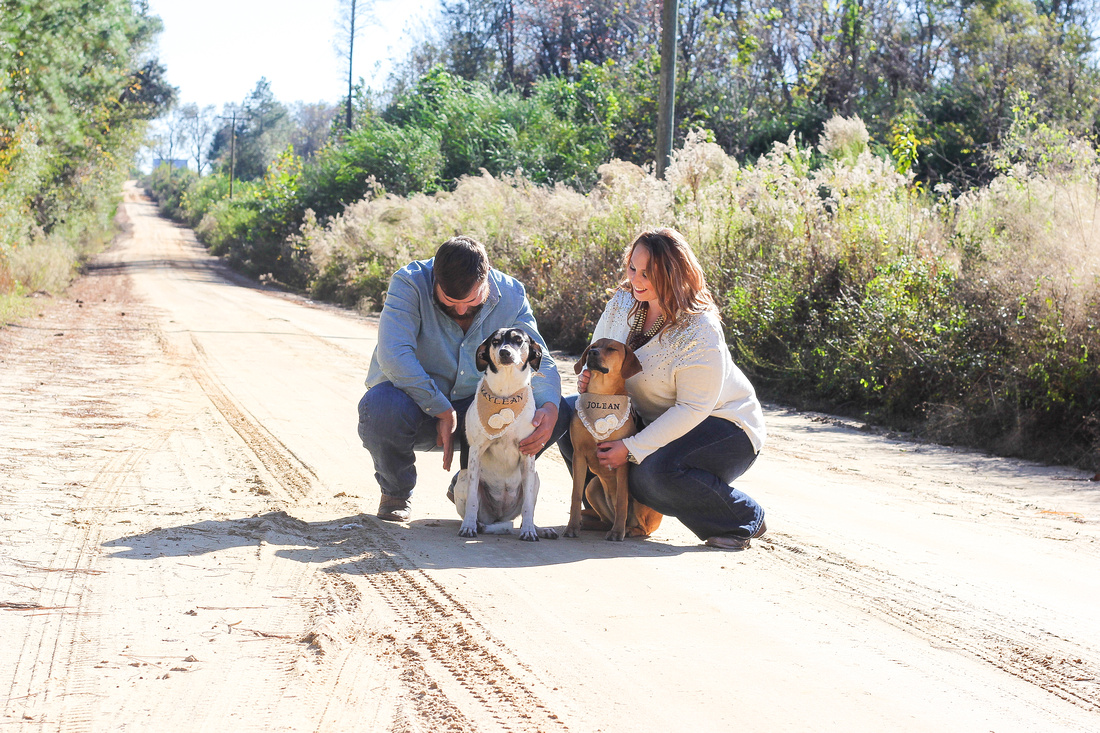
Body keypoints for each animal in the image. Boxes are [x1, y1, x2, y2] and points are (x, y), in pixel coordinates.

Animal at [453, 327, 558, 539]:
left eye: (518, 340)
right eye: (495, 341)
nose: (504, 352)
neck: (506, 394)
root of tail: (500, 516)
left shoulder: (528, 454)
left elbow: (528, 507)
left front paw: (528, 532)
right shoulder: (475, 453)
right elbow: (472, 501)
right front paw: (468, 527)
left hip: (535, 478)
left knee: (528, 509)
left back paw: (539, 529)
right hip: (462, 481)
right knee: (476, 511)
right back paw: (476, 524)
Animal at [567, 336, 660, 537]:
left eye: (611, 349)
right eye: (593, 346)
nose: (592, 353)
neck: (601, 396)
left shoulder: (622, 462)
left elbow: (622, 500)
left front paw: (617, 532)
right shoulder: (579, 455)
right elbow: (575, 495)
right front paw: (572, 527)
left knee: (643, 528)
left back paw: (628, 530)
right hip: (592, 486)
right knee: (604, 521)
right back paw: (588, 524)